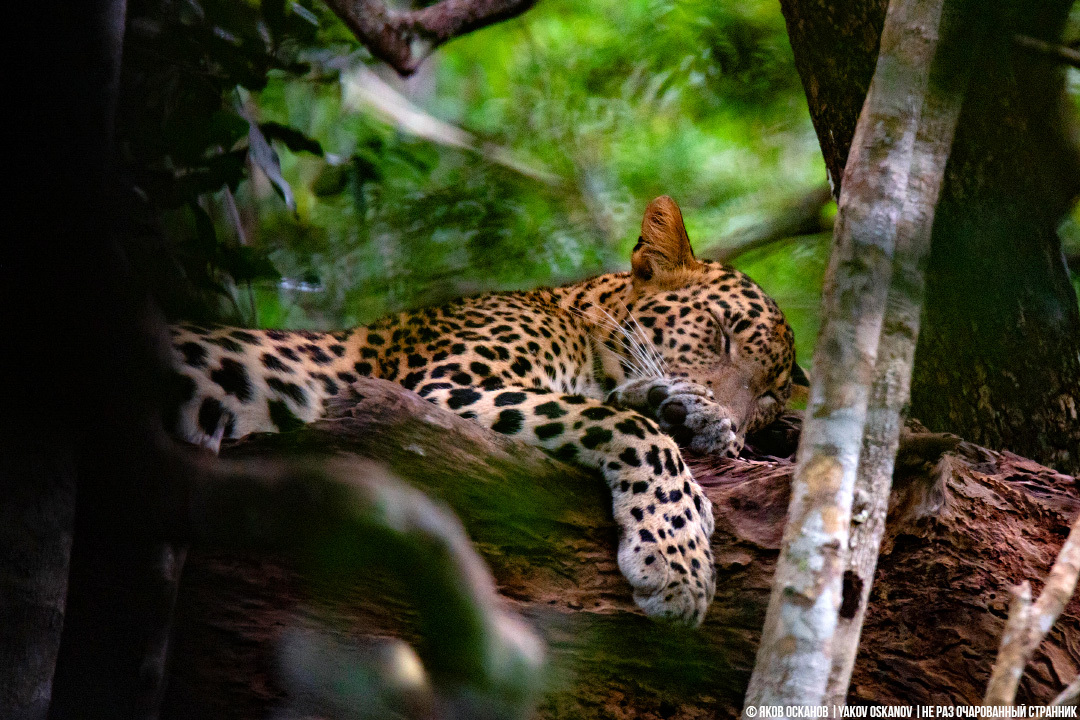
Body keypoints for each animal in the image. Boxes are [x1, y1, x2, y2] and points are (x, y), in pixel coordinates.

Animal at [168, 195, 803, 626]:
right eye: (721, 332)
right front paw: (678, 558)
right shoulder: (440, 389)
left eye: (770, 398)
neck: (581, 328)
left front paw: (690, 414)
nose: (736, 424)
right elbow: (625, 424)